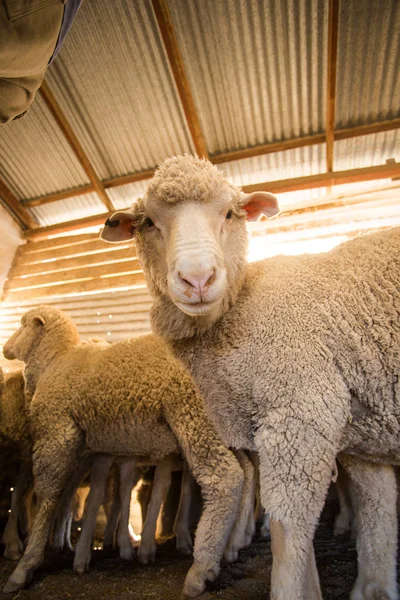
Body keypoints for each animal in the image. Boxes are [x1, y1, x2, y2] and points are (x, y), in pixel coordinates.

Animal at [3, 308, 245, 596]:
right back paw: (226, 551)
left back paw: (200, 571)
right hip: (223, 427)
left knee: (225, 479)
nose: (5, 349)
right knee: (246, 476)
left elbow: (47, 496)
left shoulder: (56, 433)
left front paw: (26, 564)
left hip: (194, 414)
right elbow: (83, 495)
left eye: (22, 325)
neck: (54, 360)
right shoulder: (89, 450)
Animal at [101, 154, 400, 600]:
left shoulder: (301, 415)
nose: (198, 279)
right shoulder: (340, 432)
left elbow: (286, 534)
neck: (239, 310)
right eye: (149, 222)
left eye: (229, 213)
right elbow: (364, 518)